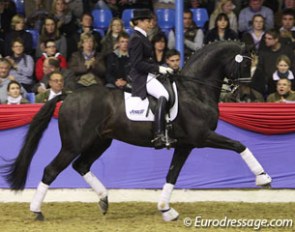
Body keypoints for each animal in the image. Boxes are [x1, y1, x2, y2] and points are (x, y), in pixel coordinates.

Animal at [2, 41, 272, 221]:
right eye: (245, 64)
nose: (246, 95)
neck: (195, 90)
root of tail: (68, 94)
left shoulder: (186, 144)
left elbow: (172, 176)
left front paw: (166, 210)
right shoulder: (202, 136)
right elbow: (240, 145)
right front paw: (263, 178)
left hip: (101, 141)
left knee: (81, 166)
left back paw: (104, 200)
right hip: (74, 144)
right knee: (51, 170)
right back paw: (37, 211)